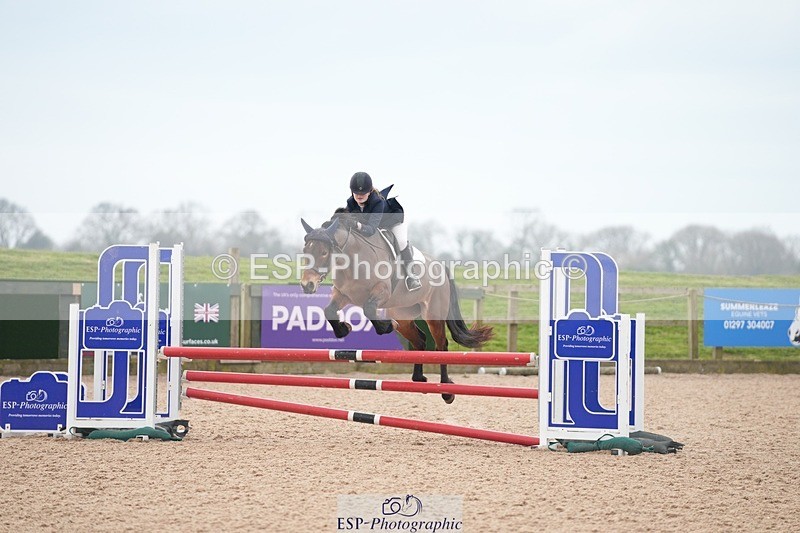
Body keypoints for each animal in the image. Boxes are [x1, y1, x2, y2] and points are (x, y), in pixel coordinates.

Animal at [299, 212, 494, 403]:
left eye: (324, 252)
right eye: (305, 251)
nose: (307, 285)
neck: (353, 259)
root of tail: (440, 266)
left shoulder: (381, 291)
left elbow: (369, 308)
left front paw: (386, 326)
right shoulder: (343, 294)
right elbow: (329, 311)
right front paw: (343, 329)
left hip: (433, 314)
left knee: (441, 346)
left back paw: (446, 390)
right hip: (404, 315)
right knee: (420, 341)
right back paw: (419, 379)